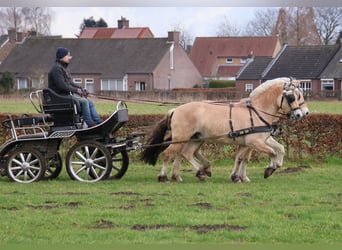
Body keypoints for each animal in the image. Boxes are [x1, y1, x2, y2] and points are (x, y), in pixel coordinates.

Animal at [140, 77, 308, 183]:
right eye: (292, 97)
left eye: (300, 95)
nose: (302, 114)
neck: (256, 111)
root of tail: (175, 109)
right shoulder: (255, 142)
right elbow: (272, 152)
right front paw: (269, 169)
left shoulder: (247, 143)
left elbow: (243, 158)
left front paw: (237, 177)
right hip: (181, 138)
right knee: (169, 154)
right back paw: (165, 177)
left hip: (195, 139)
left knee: (185, 153)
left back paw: (196, 172)